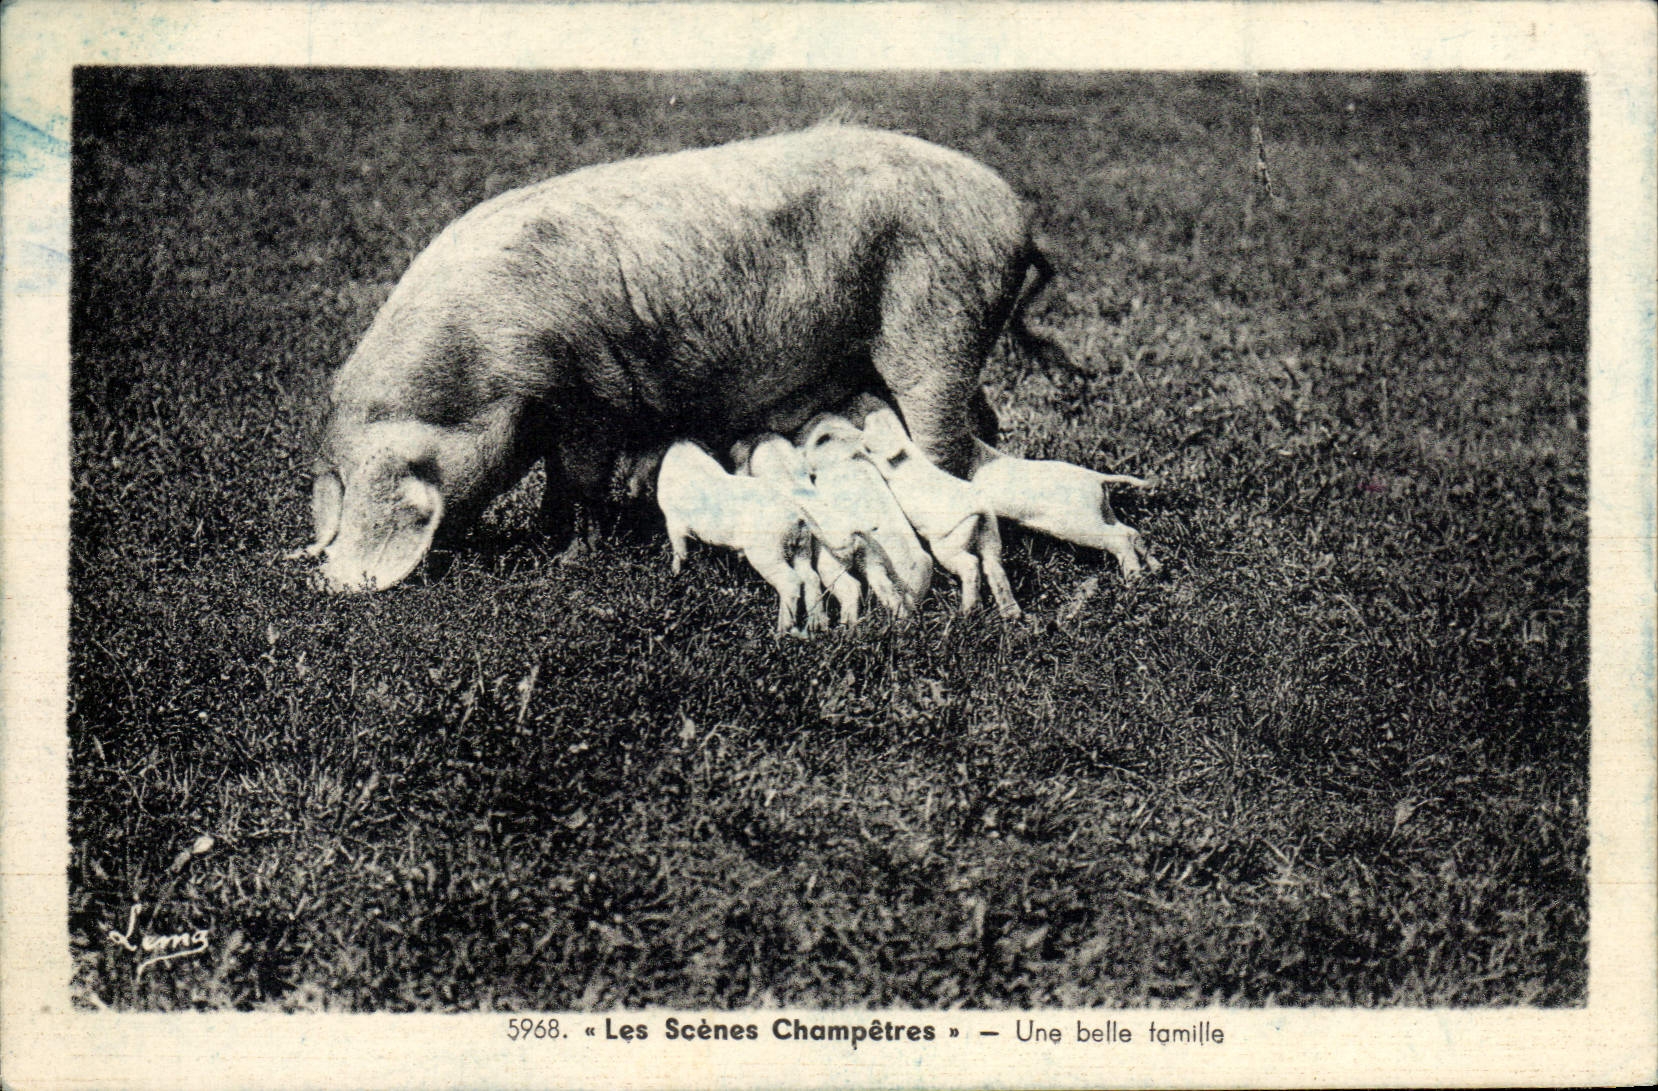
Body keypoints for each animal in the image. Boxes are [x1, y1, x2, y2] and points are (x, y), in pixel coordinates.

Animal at [297, 123, 1057, 592]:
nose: (323, 579)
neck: (482, 369)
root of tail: (1017, 217)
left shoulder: (589, 393)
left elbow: (577, 479)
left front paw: (565, 555)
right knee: (983, 423)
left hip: (936, 327)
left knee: (948, 447)